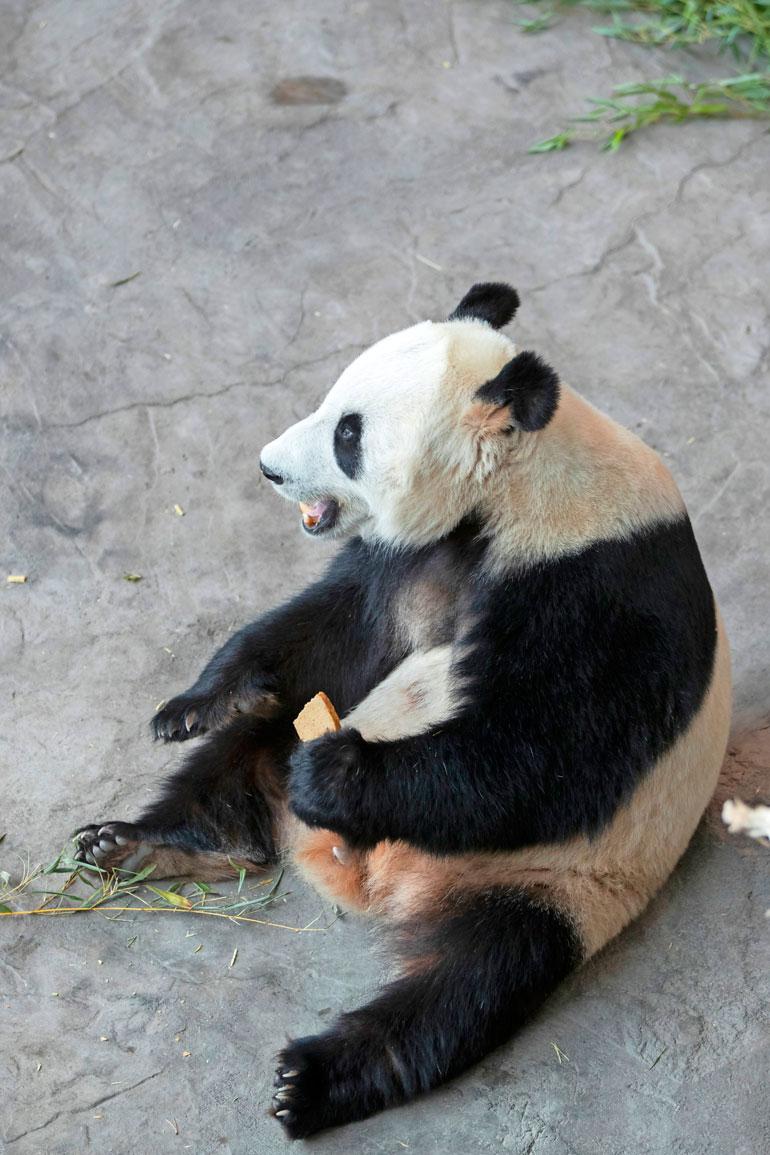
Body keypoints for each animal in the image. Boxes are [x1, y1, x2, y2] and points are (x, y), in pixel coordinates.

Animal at [75, 286, 734, 1136]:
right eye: (330, 405)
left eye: (348, 434)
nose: (268, 467)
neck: (519, 486)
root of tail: (373, 882)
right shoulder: (421, 556)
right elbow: (337, 630)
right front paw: (194, 702)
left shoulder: (602, 587)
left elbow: (546, 758)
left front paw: (340, 775)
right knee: (243, 756)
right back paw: (149, 842)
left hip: (553, 885)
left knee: (462, 987)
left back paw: (312, 1080)